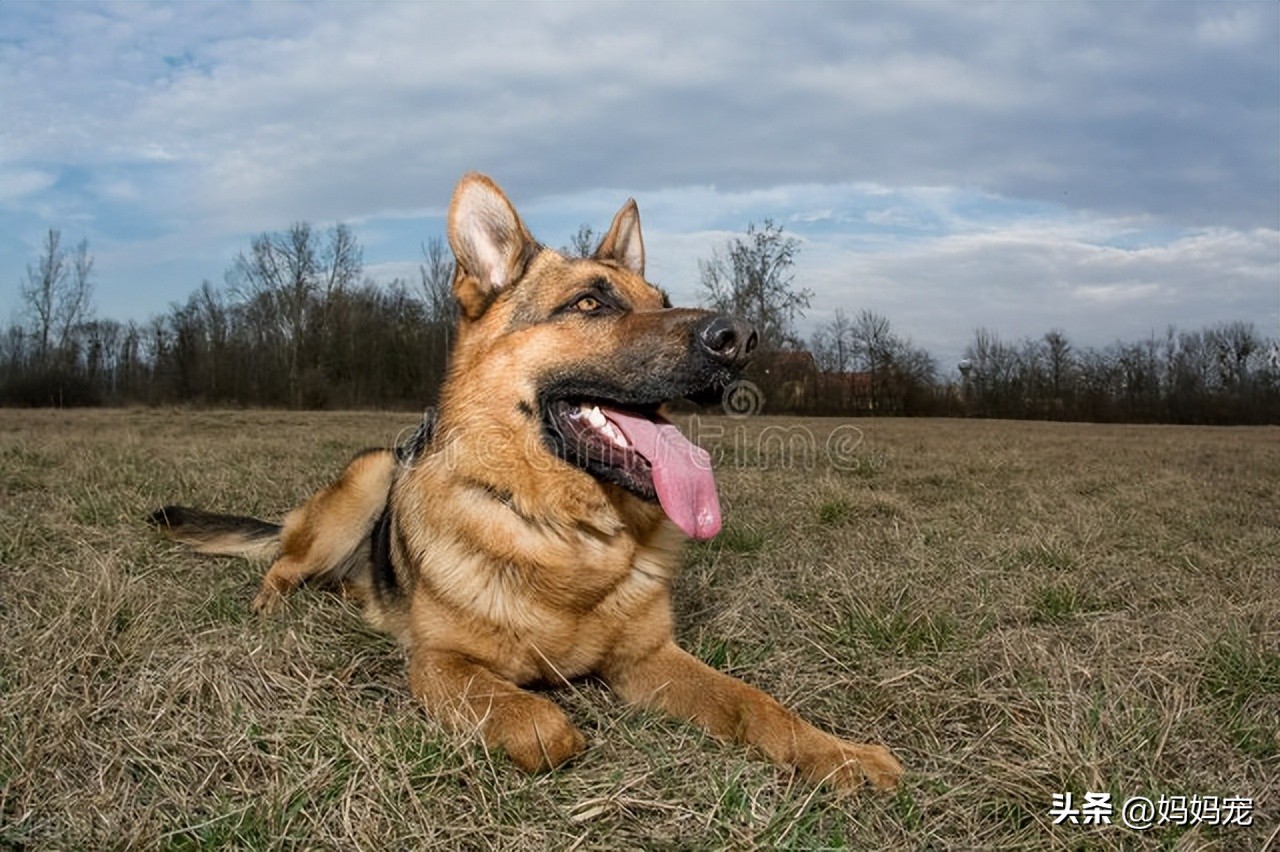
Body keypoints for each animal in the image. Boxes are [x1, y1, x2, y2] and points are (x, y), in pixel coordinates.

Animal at [149, 172, 906, 788]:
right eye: (590, 304)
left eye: (661, 298)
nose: (741, 338)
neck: (567, 533)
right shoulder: (438, 663)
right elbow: (540, 722)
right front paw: (547, 721)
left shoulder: (650, 656)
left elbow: (755, 703)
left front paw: (837, 754)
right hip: (369, 474)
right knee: (281, 565)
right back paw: (270, 612)